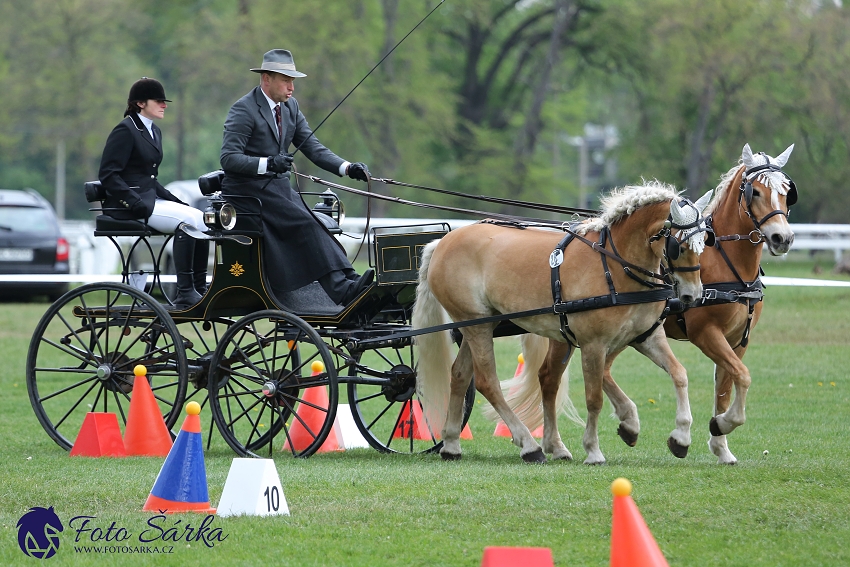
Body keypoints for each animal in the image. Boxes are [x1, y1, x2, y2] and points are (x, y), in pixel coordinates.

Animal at [410, 180, 708, 464]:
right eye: (679, 246)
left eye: (705, 242)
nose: (692, 295)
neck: (616, 265)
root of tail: (443, 241)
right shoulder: (593, 344)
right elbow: (594, 398)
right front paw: (593, 450)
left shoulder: (645, 337)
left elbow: (679, 374)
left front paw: (678, 436)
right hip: (477, 324)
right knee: (487, 382)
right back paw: (529, 445)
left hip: (480, 324)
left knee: (460, 375)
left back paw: (451, 444)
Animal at [510, 143, 796, 466]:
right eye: (755, 192)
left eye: (787, 191)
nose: (782, 237)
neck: (726, 263)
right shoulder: (706, 334)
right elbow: (743, 377)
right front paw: (718, 427)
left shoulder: (738, 340)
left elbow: (727, 387)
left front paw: (721, 442)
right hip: (573, 333)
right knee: (552, 378)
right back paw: (560, 443)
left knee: (593, 372)